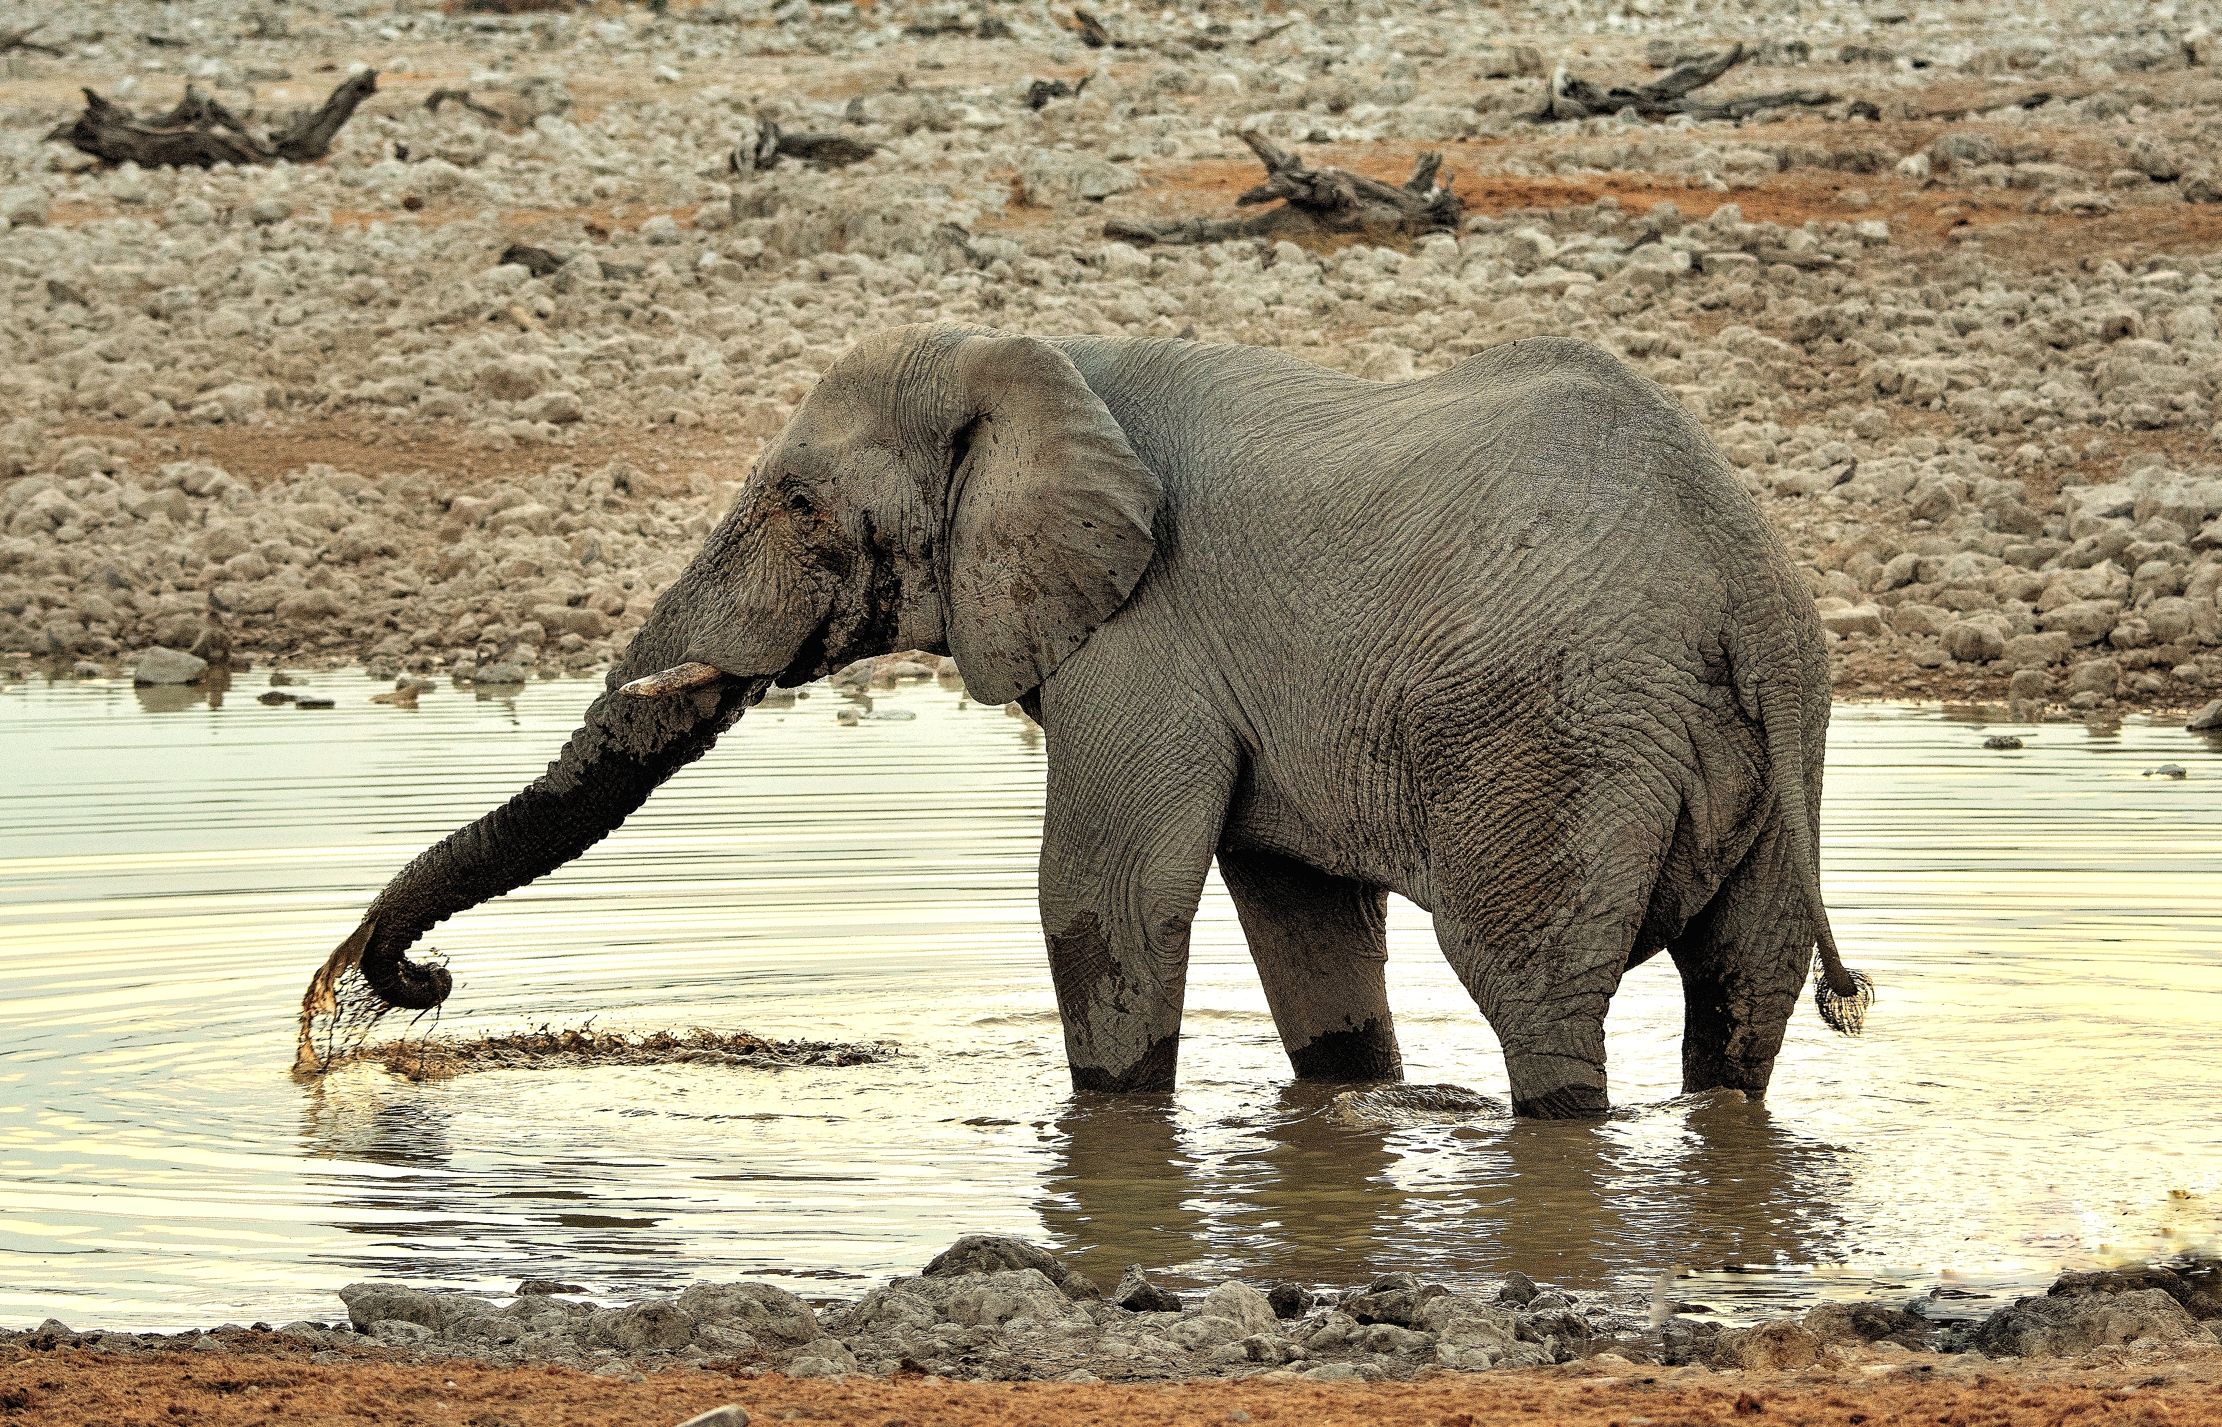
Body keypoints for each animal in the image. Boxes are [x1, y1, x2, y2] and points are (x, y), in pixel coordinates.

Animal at [297, 323, 1871, 1117]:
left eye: (797, 503)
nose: (395, 992)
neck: (1044, 359)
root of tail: (1743, 585)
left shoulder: (1145, 634)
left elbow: (1100, 891)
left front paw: (1113, 1124)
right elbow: (1297, 913)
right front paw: (1346, 1104)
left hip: (1555, 737)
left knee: (1532, 985)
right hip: (1763, 743)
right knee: (1742, 988)